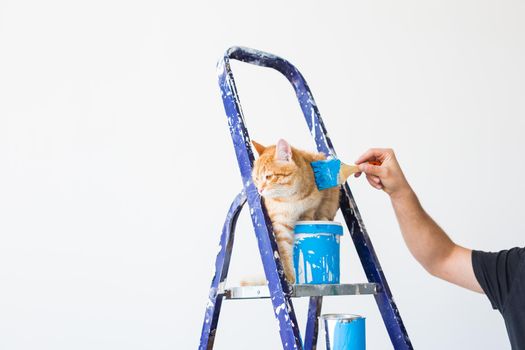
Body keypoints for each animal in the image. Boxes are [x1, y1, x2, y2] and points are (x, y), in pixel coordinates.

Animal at [246, 138, 340, 286]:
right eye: (256, 178)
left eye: (268, 177)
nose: (260, 190)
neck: (291, 198)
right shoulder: (280, 223)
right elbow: (284, 250)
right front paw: (289, 275)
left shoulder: (308, 211)